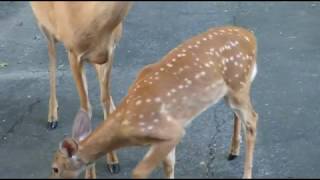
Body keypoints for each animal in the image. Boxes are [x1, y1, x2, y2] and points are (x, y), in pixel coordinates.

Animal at [30, 1, 132, 176]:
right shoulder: (74, 54)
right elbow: (86, 109)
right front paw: (90, 173)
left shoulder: (110, 51)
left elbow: (104, 99)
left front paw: (113, 161)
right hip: (46, 28)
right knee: (52, 61)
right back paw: (52, 116)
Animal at [50, 25, 260, 179]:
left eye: (55, 168)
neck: (125, 126)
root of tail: (251, 36)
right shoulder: (166, 137)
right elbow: (169, 165)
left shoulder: (169, 130)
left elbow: (139, 172)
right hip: (231, 91)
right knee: (239, 115)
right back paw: (233, 151)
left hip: (238, 85)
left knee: (253, 119)